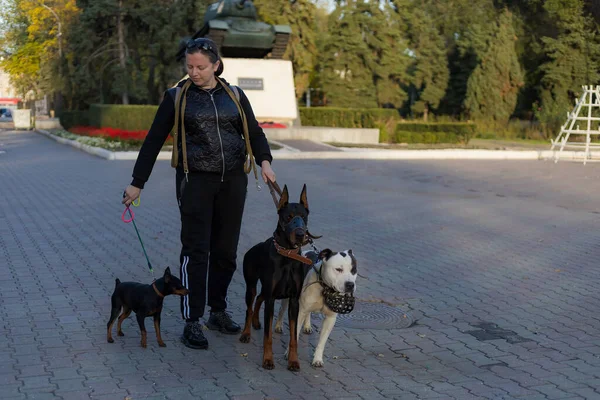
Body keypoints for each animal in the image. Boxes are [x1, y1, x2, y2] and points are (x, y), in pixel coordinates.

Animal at [239, 184, 316, 372]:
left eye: (303, 217)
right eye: (288, 216)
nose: (300, 234)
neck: (287, 255)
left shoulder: (294, 300)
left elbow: (294, 337)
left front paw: (294, 361)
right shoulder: (272, 299)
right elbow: (267, 337)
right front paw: (267, 360)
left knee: (259, 298)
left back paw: (256, 322)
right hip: (251, 285)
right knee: (250, 305)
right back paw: (246, 333)